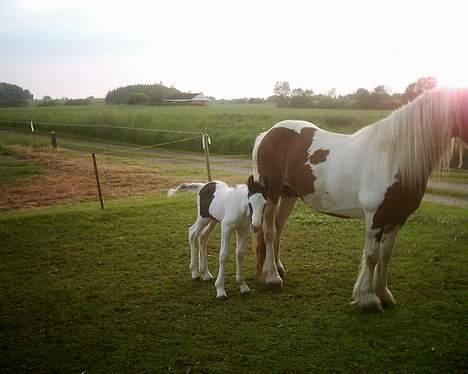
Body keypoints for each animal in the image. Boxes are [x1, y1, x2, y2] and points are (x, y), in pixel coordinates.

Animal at [252, 87, 468, 310]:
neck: (393, 158)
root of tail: (267, 134)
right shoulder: (376, 216)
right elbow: (372, 256)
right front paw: (368, 299)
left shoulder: (398, 218)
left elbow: (385, 256)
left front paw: (384, 294)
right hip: (271, 194)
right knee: (269, 232)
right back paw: (273, 278)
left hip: (289, 195)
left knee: (278, 228)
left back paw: (278, 268)